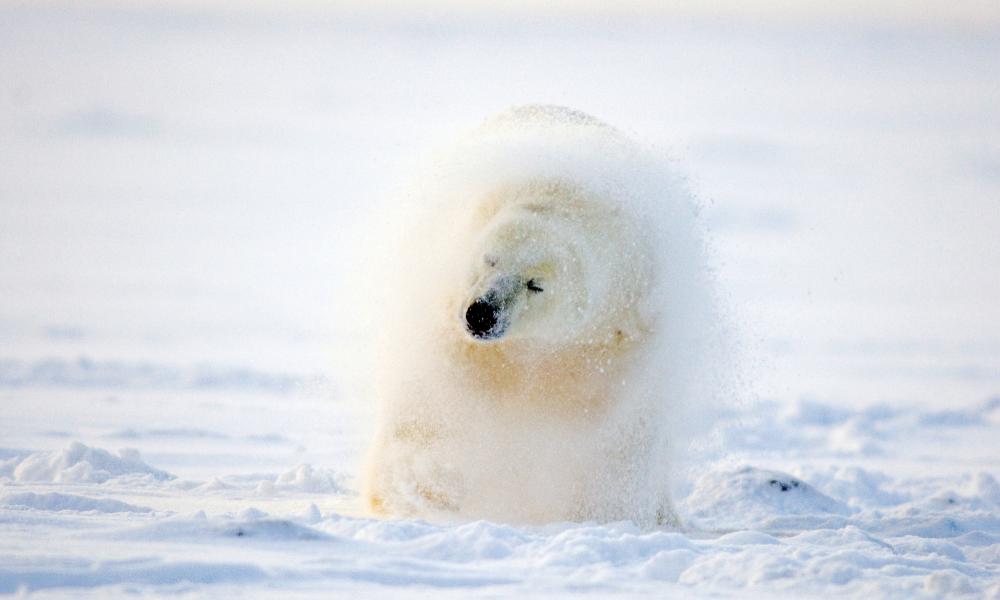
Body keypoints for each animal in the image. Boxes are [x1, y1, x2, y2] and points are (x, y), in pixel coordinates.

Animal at [362, 105, 720, 528]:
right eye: (490, 259)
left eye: (535, 284)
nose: (482, 313)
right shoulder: (445, 308)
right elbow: (431, 403)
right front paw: (425, 485)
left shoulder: (621, 329)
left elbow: (617, 433)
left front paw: (605, 511)